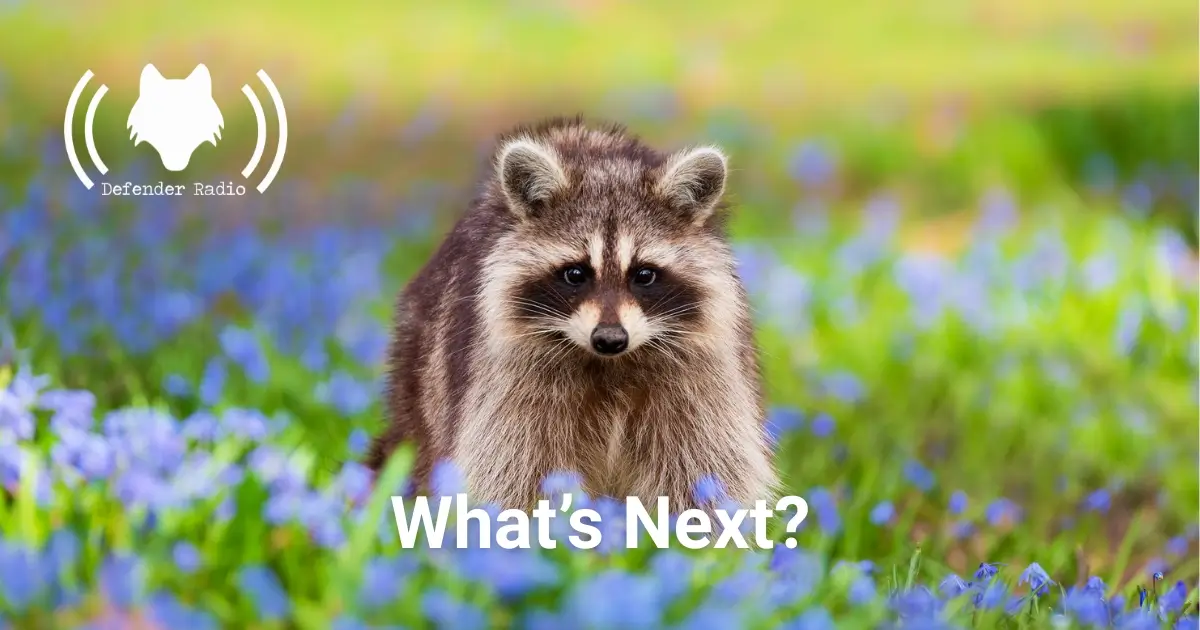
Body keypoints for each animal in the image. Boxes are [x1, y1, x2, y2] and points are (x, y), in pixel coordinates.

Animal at [366, 116, 778, 511]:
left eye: (644, 275)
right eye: (575, 274)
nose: (610, 339)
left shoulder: (700, 376)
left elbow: (706, 464)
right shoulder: (508, 380)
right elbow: (512, 468)